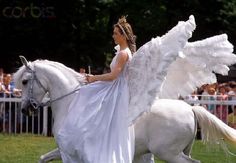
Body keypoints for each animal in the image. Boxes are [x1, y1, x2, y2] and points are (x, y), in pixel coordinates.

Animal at [13, 57, 236, 163]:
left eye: (24, 81)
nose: (25, 110)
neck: (71, 103)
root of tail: (190, 109)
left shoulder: (70, 152)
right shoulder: (64, 151)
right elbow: (43, 158)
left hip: (169, 153)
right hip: (179, 151)